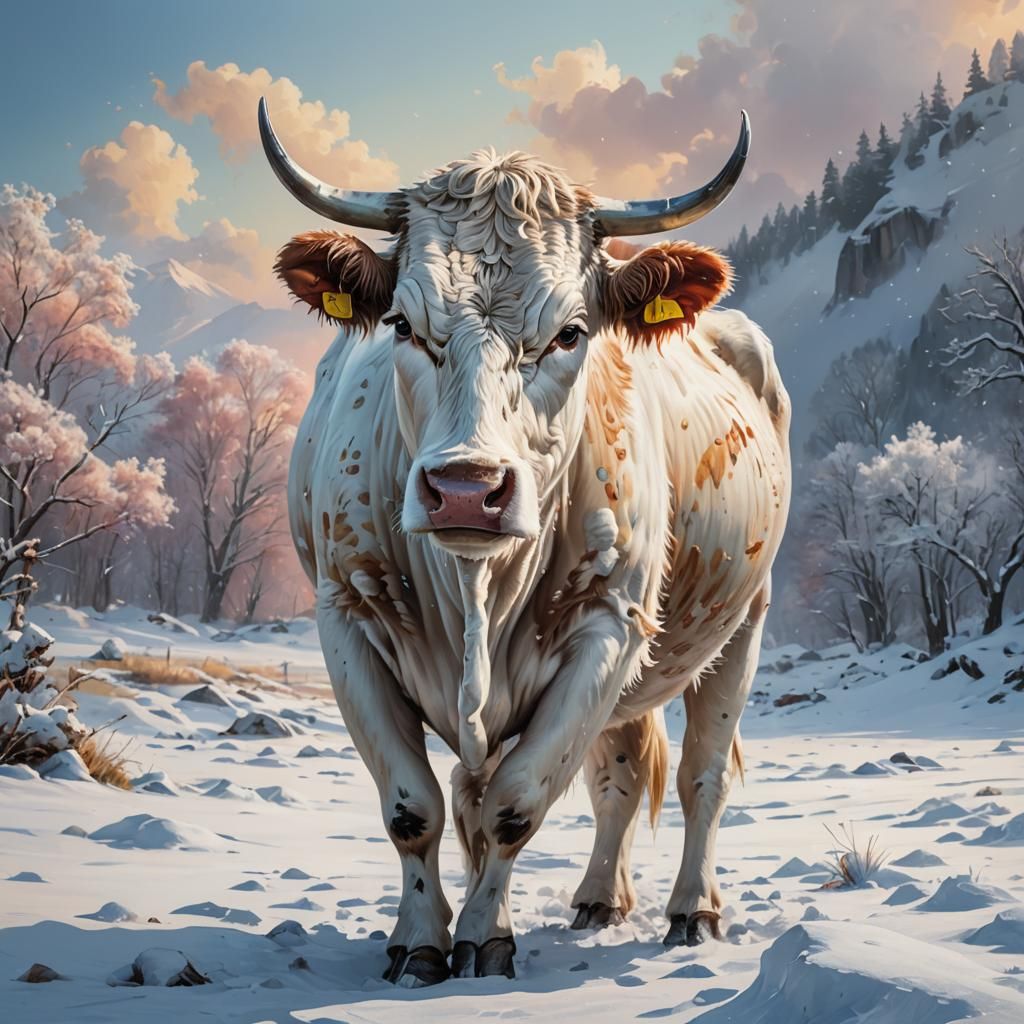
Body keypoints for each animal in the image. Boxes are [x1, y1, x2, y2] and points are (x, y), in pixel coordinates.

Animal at [259, 97, 790, 988]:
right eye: (402, 323)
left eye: (571, 333)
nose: (466, 488)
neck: (477, 594)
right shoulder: (346, 618)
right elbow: (415, 806)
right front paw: (419, 940)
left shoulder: (608, 625)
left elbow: (514, 801)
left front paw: (484, 936)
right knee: (617, 775)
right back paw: (600, 899)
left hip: (743, 621)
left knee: (701, 777)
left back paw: (692, 910)